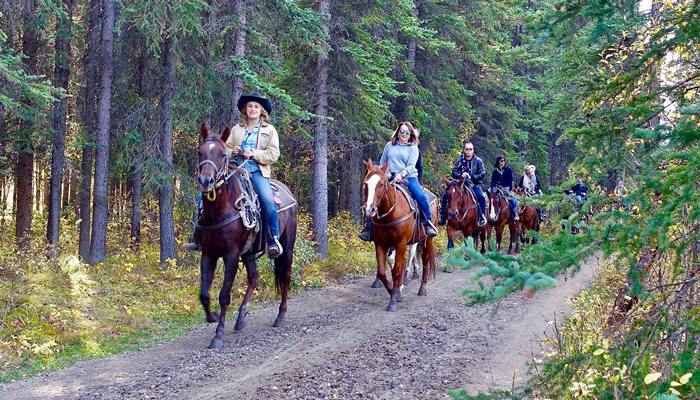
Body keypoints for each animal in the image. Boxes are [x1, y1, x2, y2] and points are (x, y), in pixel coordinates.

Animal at [196, 123, 296, 348]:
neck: (219, 210)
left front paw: (218, 335)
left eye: (222, 154)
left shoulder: (232, 255)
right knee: (254, 278)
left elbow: (224, 295)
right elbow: (204, 294)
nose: (206, 181)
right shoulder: (208, 254)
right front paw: (213, 316)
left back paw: (281, 316)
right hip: (249, 252)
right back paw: (241, 317)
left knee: (285, 276)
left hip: (287, 246)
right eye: (200, 152)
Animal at [364, 158, 434, 310]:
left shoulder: (400, 243)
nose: (369, 210)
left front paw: (393, 300)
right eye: (366, 183)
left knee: (425, 260)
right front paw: (393, 290)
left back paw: (422, 289)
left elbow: (396, 270)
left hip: (426, 239)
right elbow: (383, 271)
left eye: (382, 184)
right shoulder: (381, 243)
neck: (391, 212)